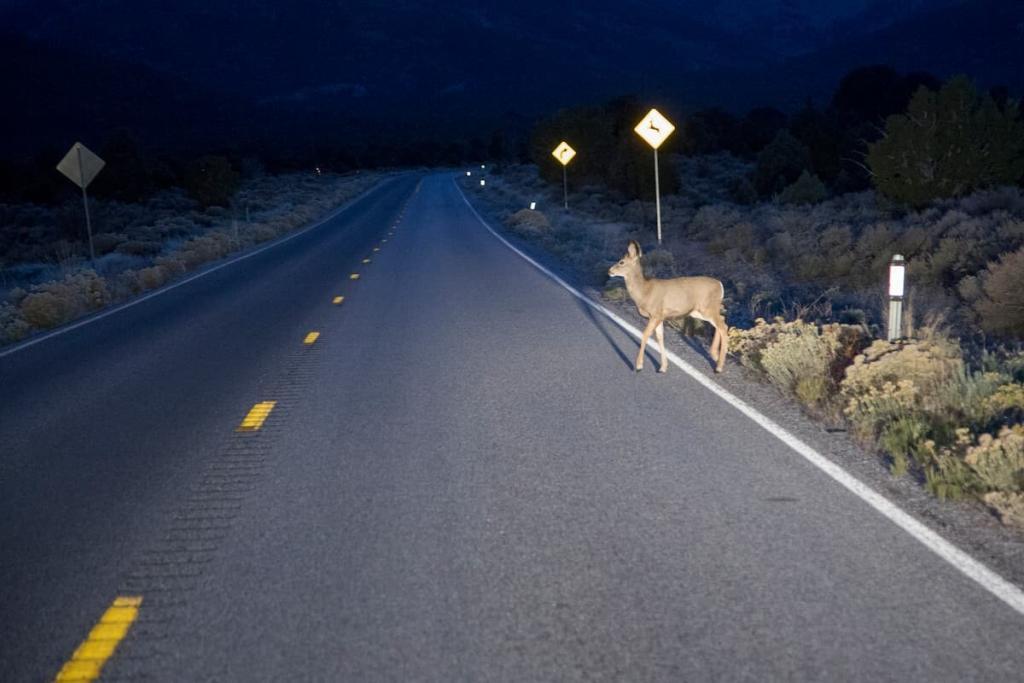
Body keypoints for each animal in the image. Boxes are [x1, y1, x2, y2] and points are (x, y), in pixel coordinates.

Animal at [606, 241, 729, 374]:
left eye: (621, 262)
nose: (609, 271)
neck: (645, 292)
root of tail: (720, 285)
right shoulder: (660, 317)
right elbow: (660, 338)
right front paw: (663, 367)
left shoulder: (655, 314)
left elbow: (645, 335)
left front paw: (639, 366)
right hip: (698, 311)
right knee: (722, 321)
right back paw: (715, 355)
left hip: (708, 308)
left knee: (723, 327)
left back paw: (719, 366)